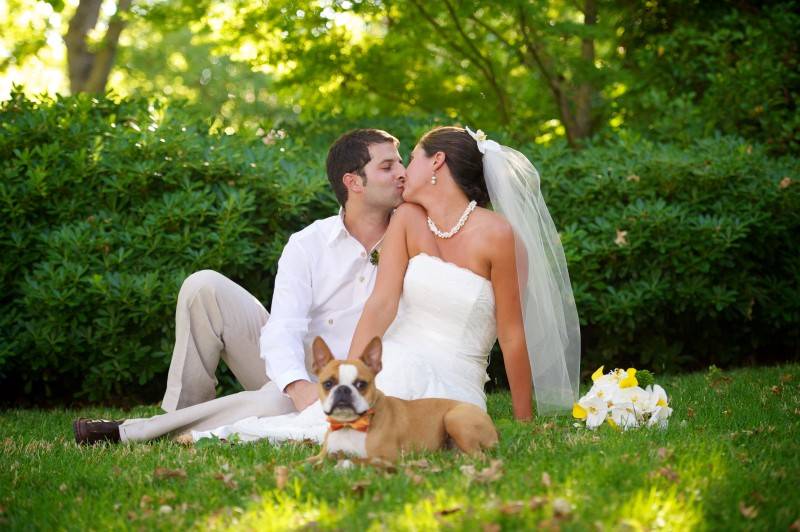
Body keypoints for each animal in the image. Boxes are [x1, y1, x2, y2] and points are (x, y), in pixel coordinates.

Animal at [310, 334, 496, 464]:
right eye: (328, 384)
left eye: (361, 384)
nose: (343, 389)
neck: (349, 425)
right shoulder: (320, 456)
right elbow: (304, 463)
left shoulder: (386, 457)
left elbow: (355, 459)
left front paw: (343, 465)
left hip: (454, 418)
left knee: (479, 456)